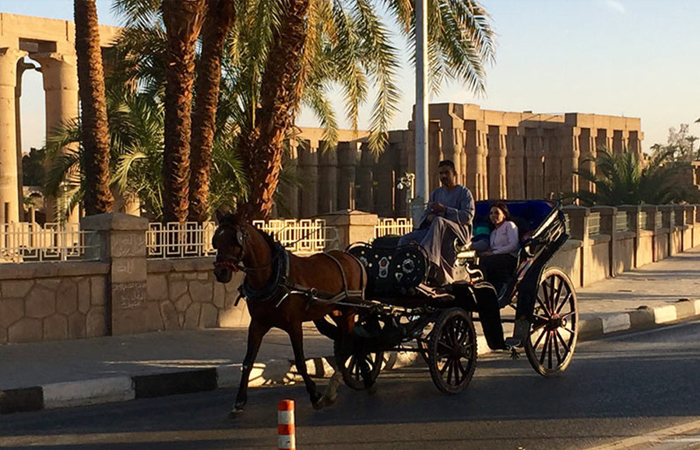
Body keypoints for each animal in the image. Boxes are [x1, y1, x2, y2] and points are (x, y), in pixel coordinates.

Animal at [212, 211, 366, 414]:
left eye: (234, 240)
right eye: (216, 239)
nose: (220, 272)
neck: (275, 276)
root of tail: (352, 258)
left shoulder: (294, 324)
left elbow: (300, 361)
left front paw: (315, 395)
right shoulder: (257, 324)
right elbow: (247, 362)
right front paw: (239, 401)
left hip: (348, 310)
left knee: (347, 344)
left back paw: (333, 386)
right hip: (335, 310)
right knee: (345, 342)